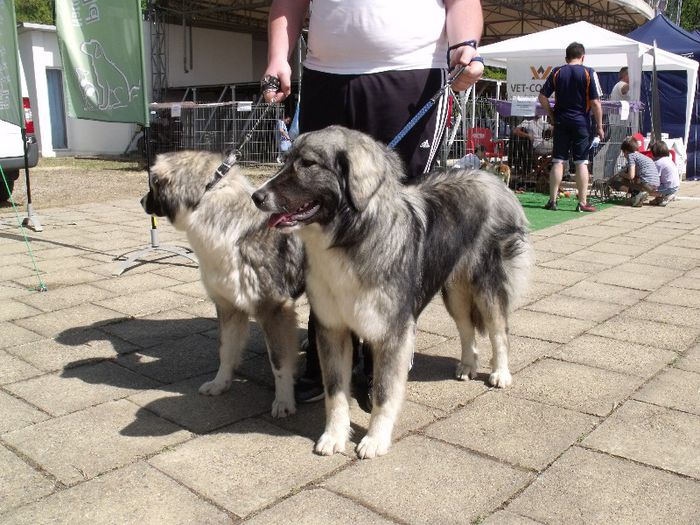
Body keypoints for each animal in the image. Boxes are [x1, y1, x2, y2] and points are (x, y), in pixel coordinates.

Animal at [142, 151, 304, 418]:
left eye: (152, 185)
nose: (141, 201)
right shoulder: (229, 305)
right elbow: (226, 350)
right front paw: (220, 384)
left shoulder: (274, 310)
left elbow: (279, 362)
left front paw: (284, 401)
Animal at [254, 125, 532, 456]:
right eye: (285, 160)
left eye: (308, 163)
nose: (256, 196)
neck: (351, 238)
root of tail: (493, 179)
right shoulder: (332, 328)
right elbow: (335, 392)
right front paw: (334, 436)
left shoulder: (392, 332)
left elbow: (385, 392)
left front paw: (375, 439)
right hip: (454, 291)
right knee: (466, 329)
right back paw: (467, 365)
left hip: (485, 285)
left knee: (498, 330)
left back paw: (500, 373)